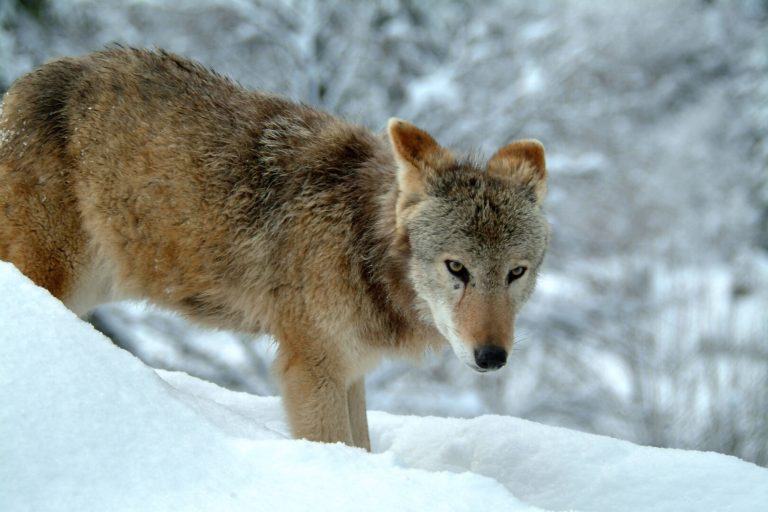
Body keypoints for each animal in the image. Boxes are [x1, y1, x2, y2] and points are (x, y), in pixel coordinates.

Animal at [0, 48, 549, 450]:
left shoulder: (350, 371)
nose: (492, 357)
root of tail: (19, 87)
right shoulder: (310, 370)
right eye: (457, 267)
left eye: (516, 273)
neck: (358, 242)